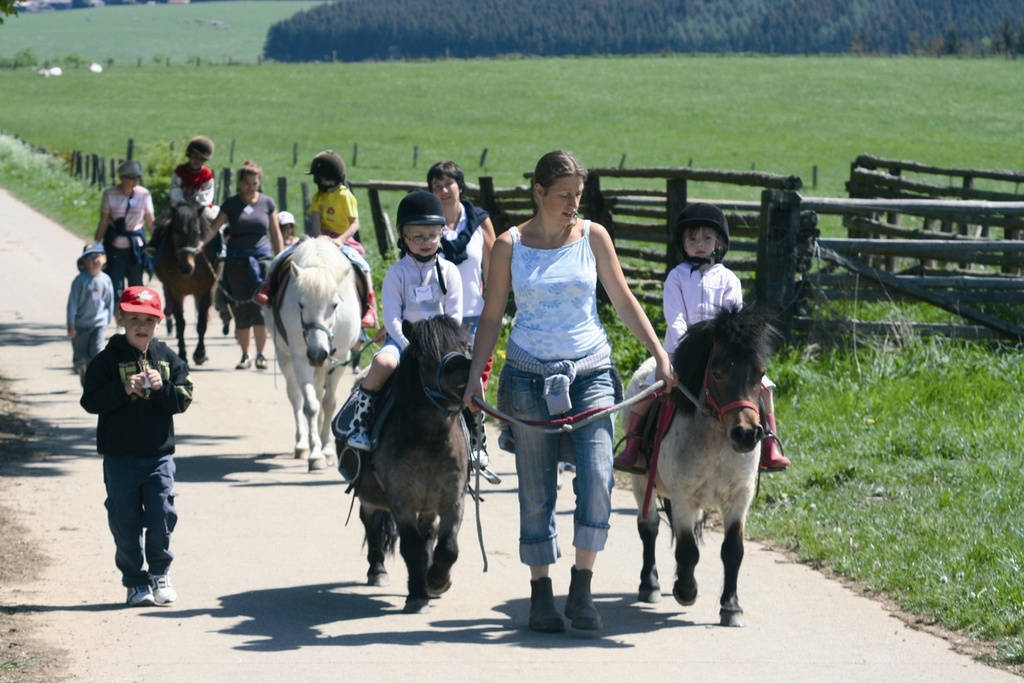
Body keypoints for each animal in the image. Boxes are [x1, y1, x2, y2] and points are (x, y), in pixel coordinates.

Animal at [150, 202, 215, 366]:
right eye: (176, 232)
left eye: (197, 232)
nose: (186, 267)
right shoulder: (175, 290)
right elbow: (181, 323)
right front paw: (183, 354)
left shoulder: (205, 291)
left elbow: (202, 323)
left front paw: (200, 353)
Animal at [266, 239, 362, 471]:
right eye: (301, 304)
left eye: (335, 305)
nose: (317, 353)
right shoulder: (301, 358)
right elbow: (310, 405)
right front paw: (316, 454)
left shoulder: (341, 358)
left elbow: (328, 403)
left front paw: (327, 449)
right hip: (284, 356)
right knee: (295, 396)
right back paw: (303, 444)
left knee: (319, 392)